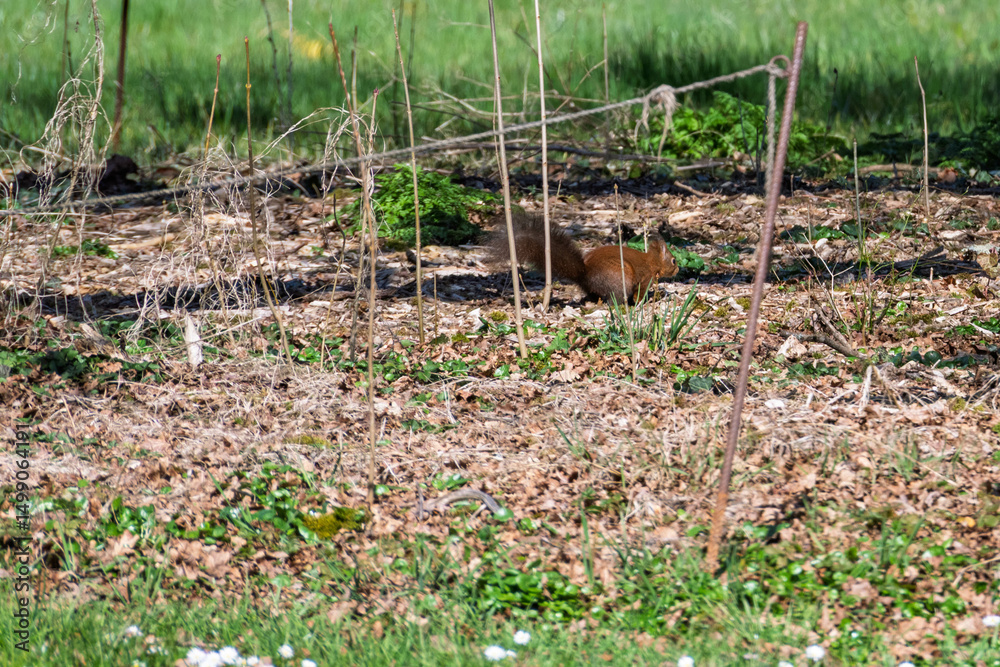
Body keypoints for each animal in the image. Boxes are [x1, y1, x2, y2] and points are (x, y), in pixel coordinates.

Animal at [487, 212, 678, 303]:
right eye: (674, 260)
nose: (677, 269)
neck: (652, 262)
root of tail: (585, 273)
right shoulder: (645, 279)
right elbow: (640, 294)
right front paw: (643, 302)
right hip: (620, 277)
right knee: (614, 299)